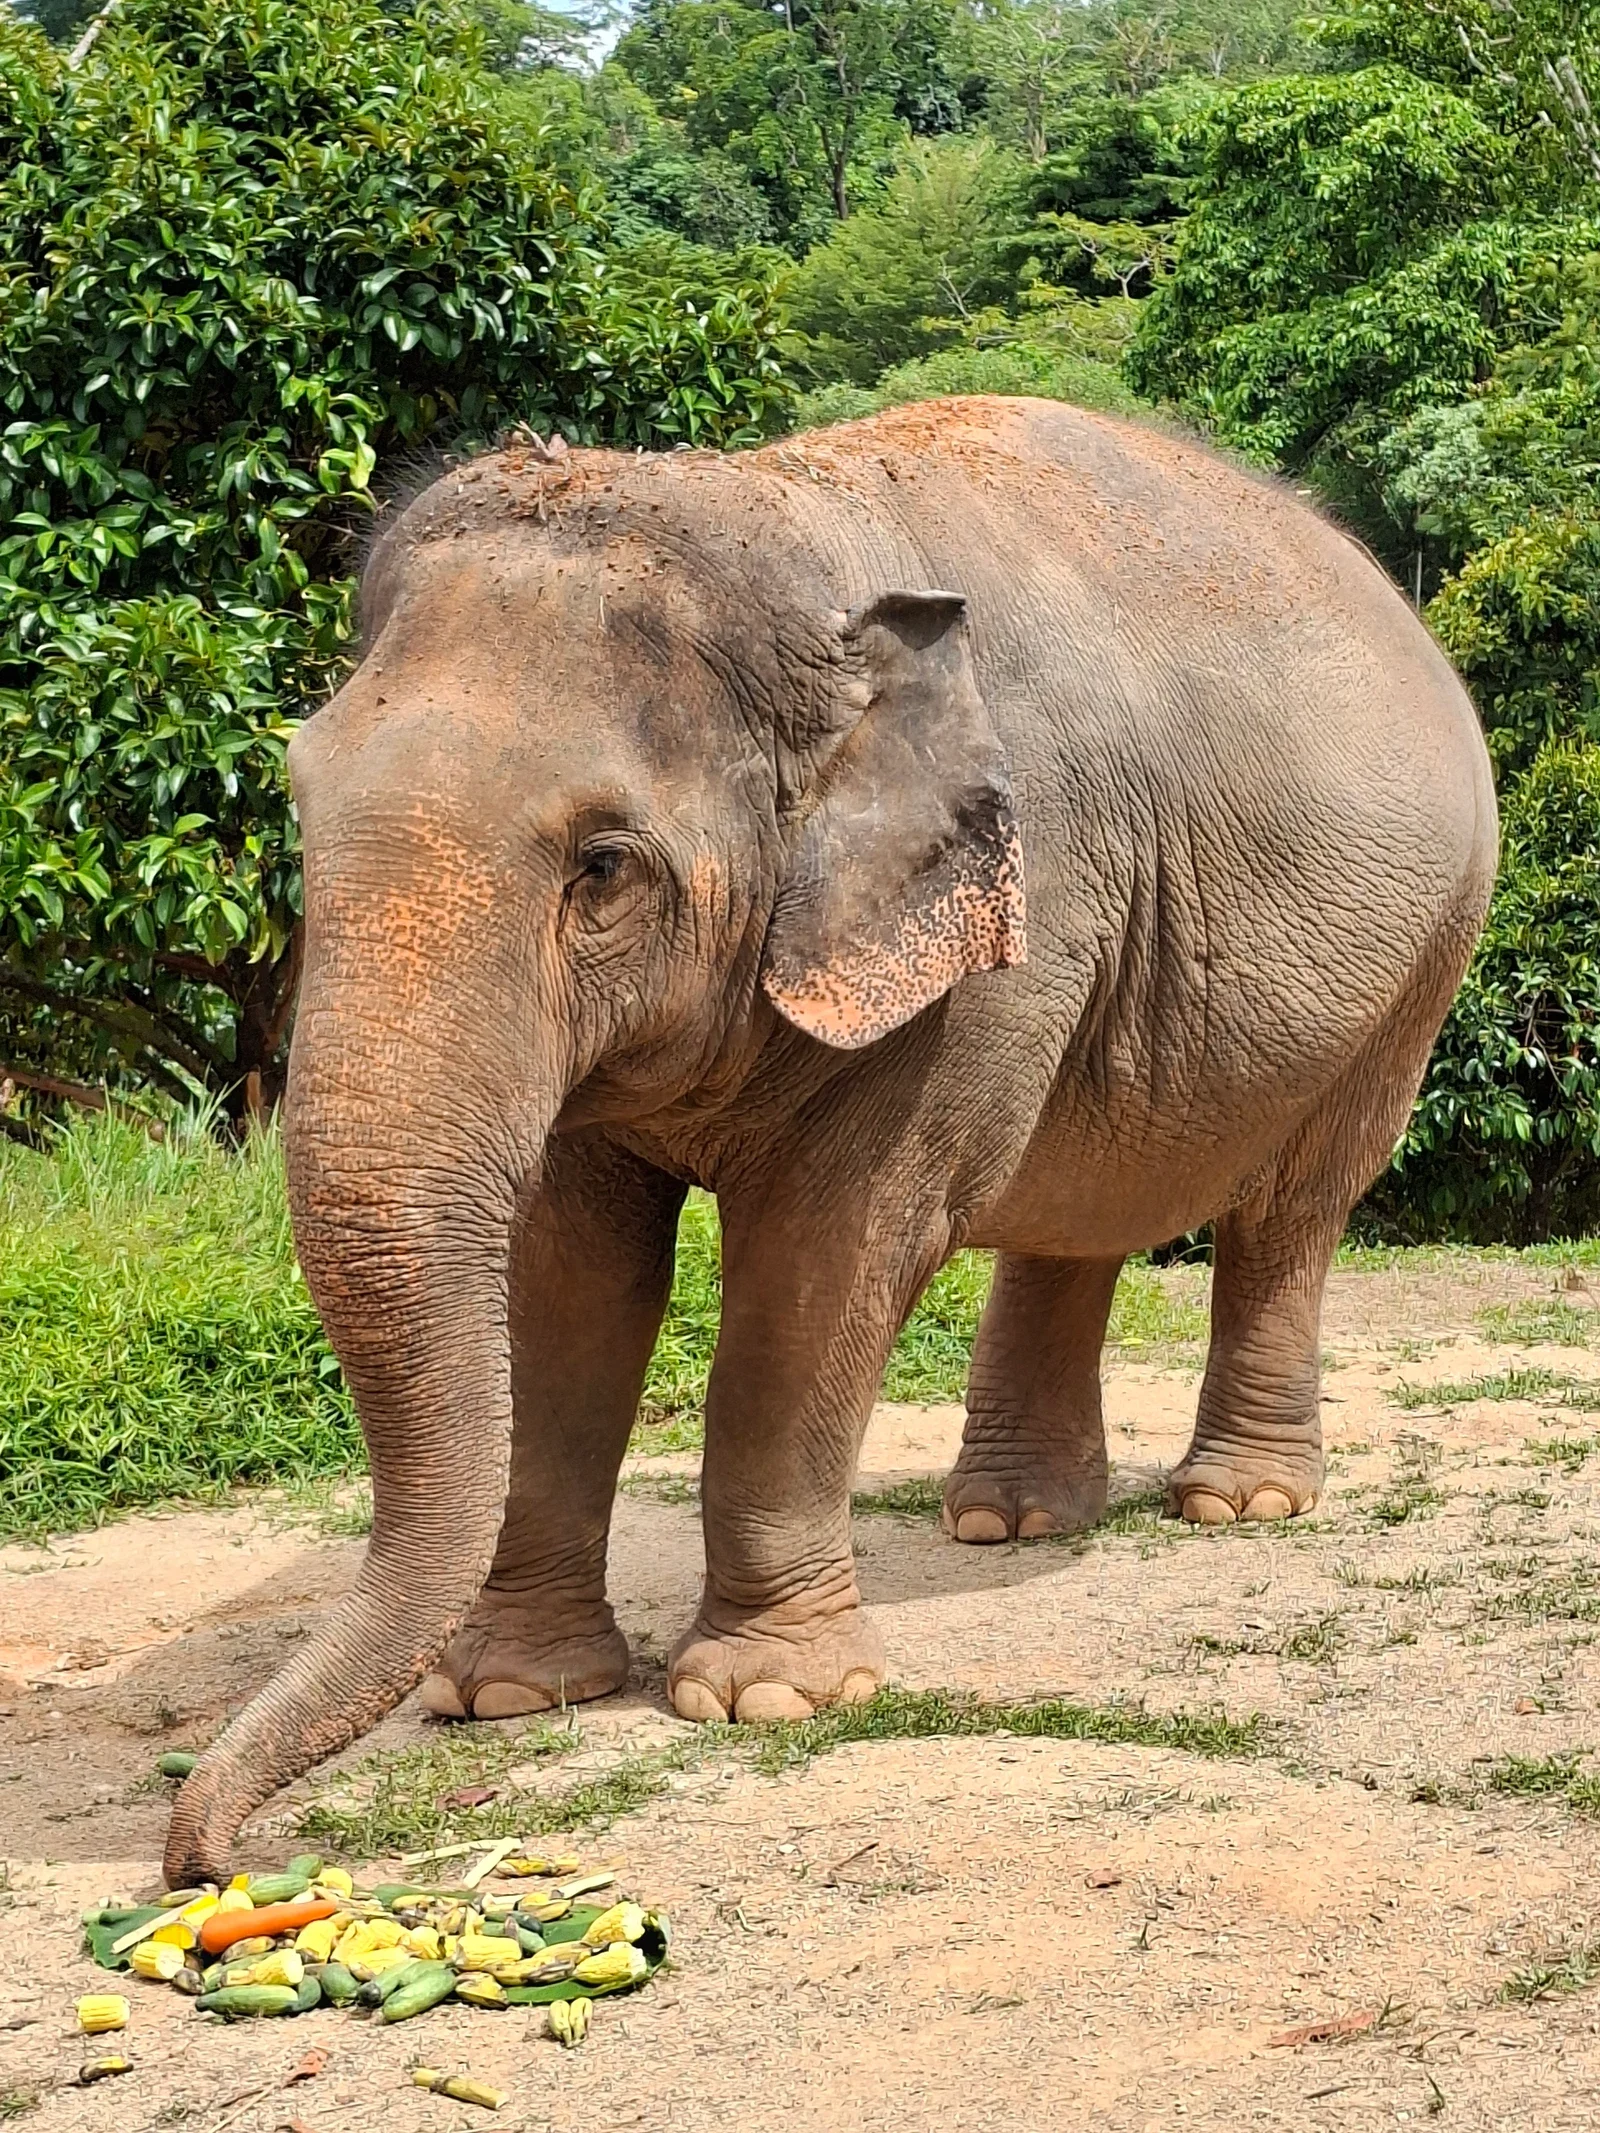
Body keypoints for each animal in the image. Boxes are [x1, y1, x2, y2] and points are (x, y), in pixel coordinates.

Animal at [163, 395, 1496, 1883]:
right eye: (297, 798)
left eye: (603, 865)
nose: (209, 1861)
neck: (781, 521)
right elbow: (570, 1277)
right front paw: (509, 1691)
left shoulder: (995, 917)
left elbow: (829, 1262)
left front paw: (768, 1697)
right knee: (1072, 1204)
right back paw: (1010, 1521)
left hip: (1423, 955)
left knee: (1292, 1209)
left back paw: (1237, 1506)